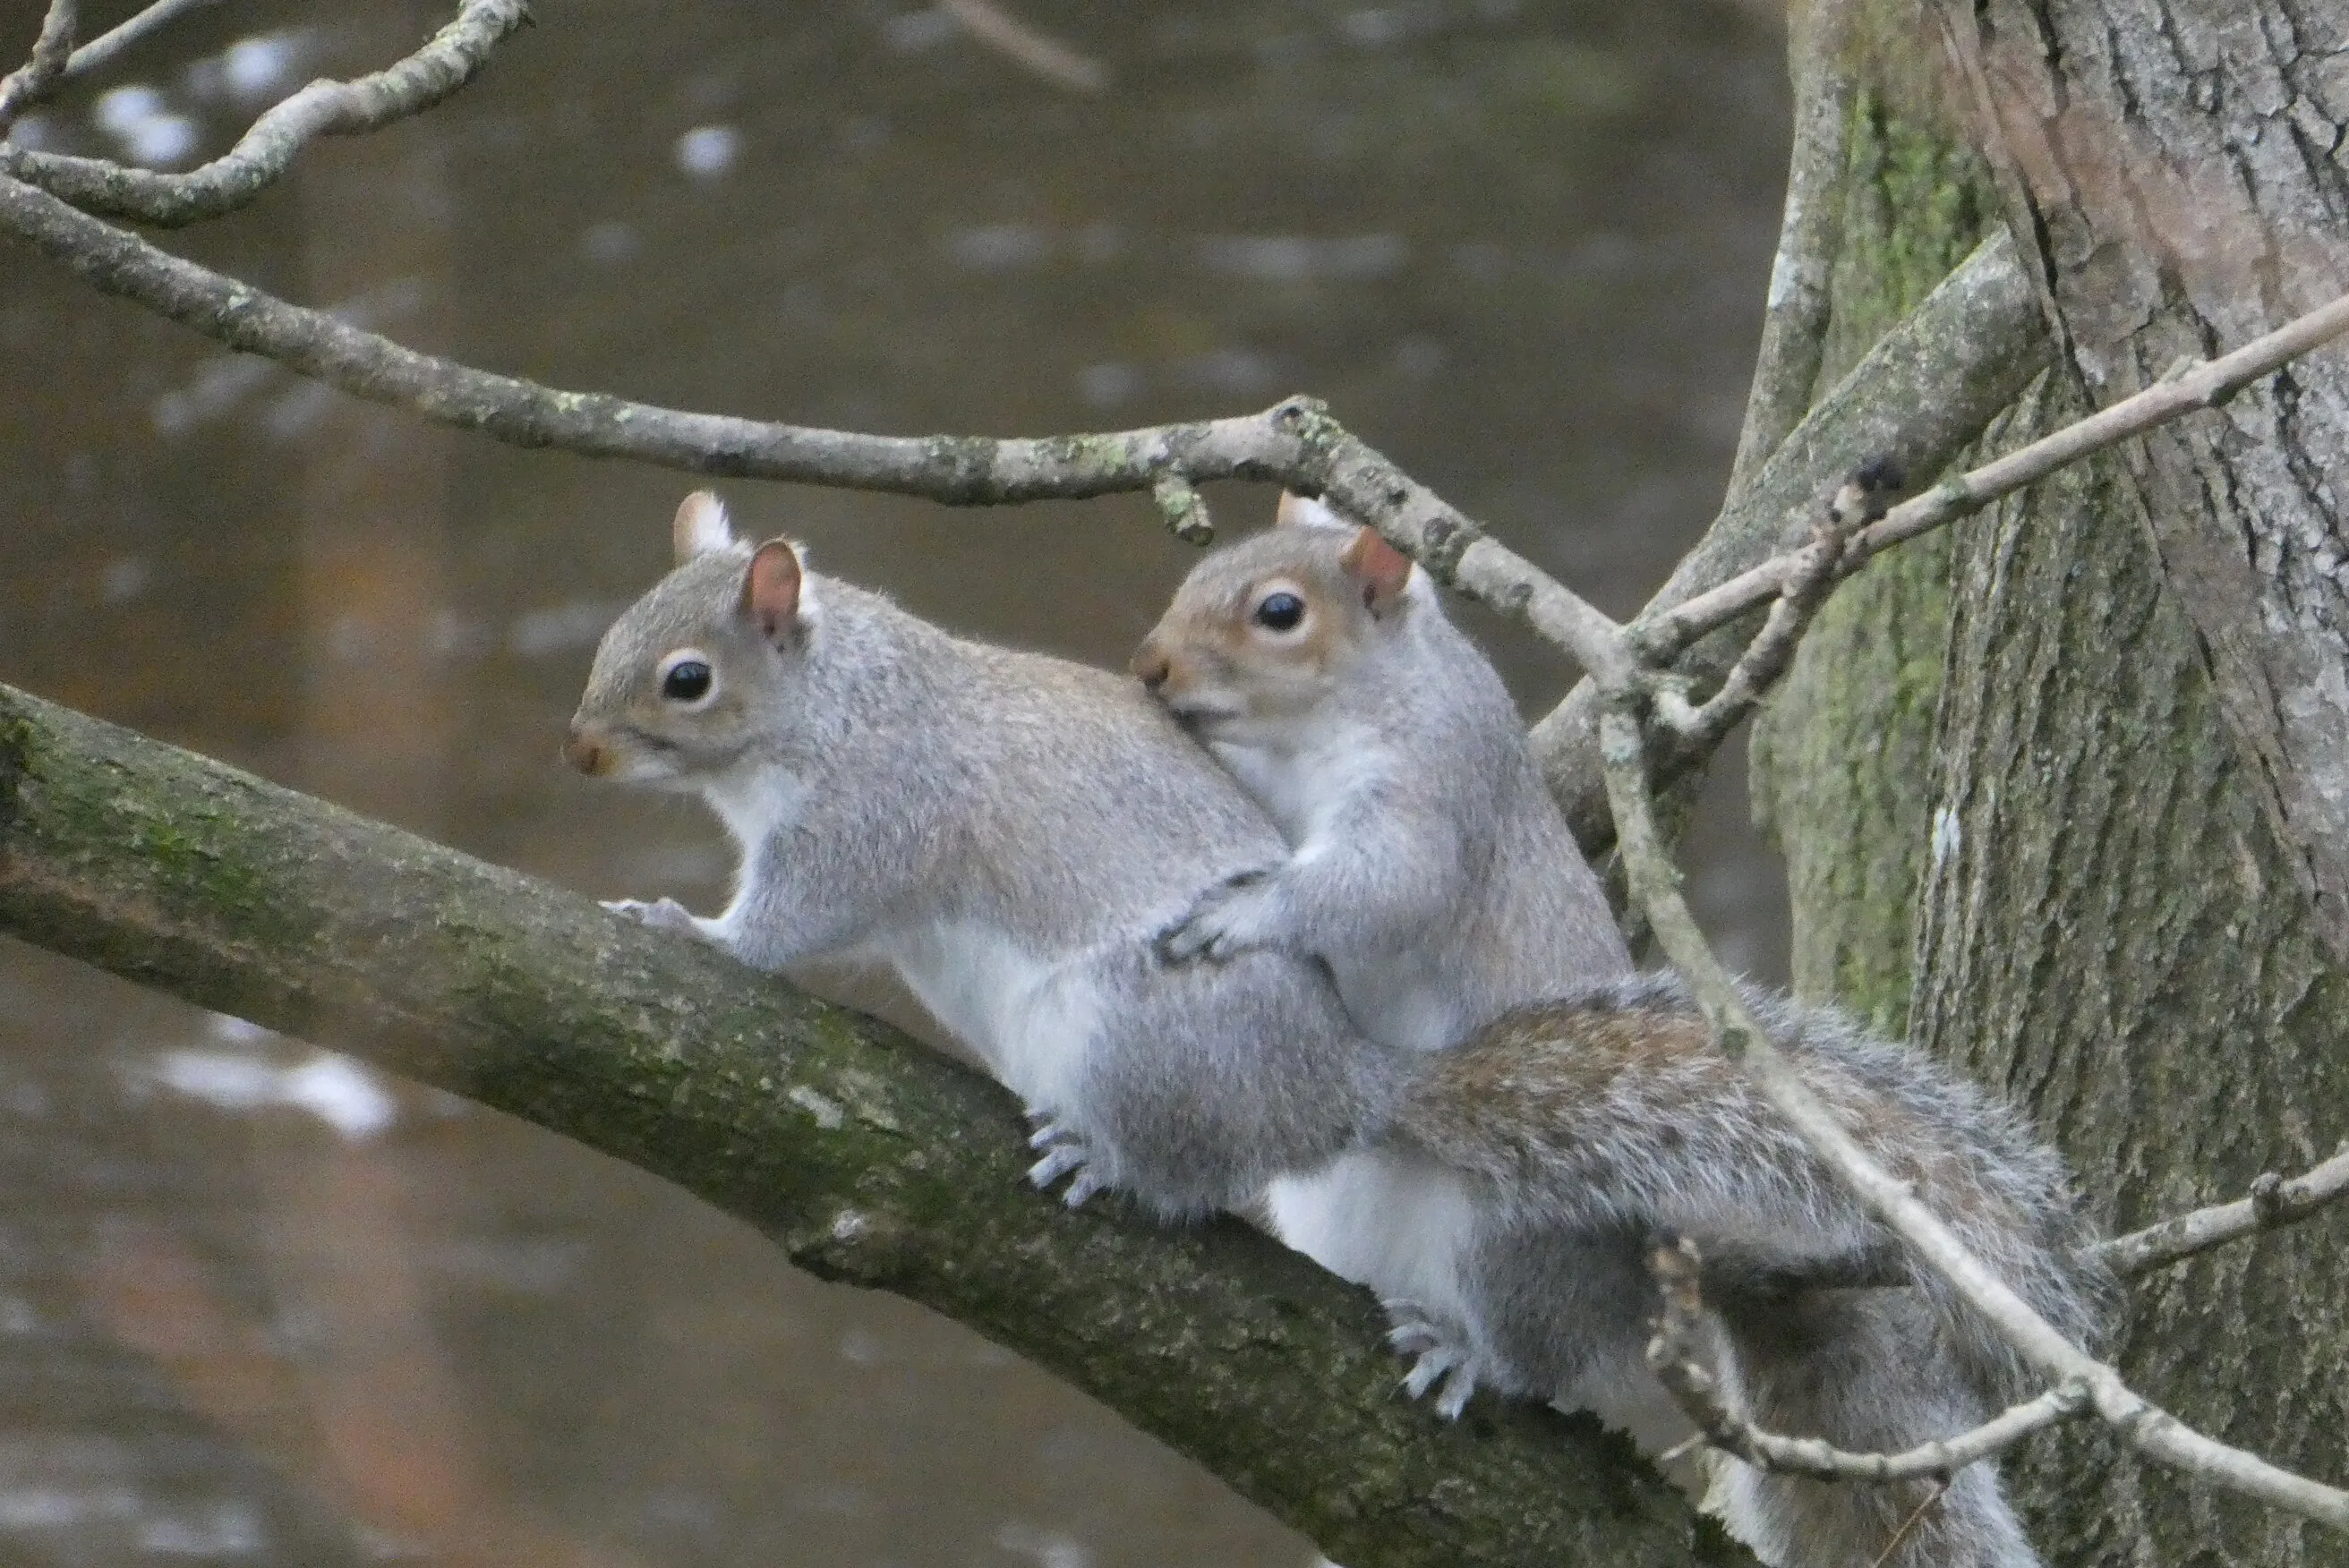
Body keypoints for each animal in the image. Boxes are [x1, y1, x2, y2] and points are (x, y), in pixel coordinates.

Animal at [1129, 490, 1631, 1054]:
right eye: (1200, 572)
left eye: (1281, 612)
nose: (1147, 666)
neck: (1303, 738)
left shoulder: (1429, 775)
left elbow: (1397, 882)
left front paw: (1240, 911)